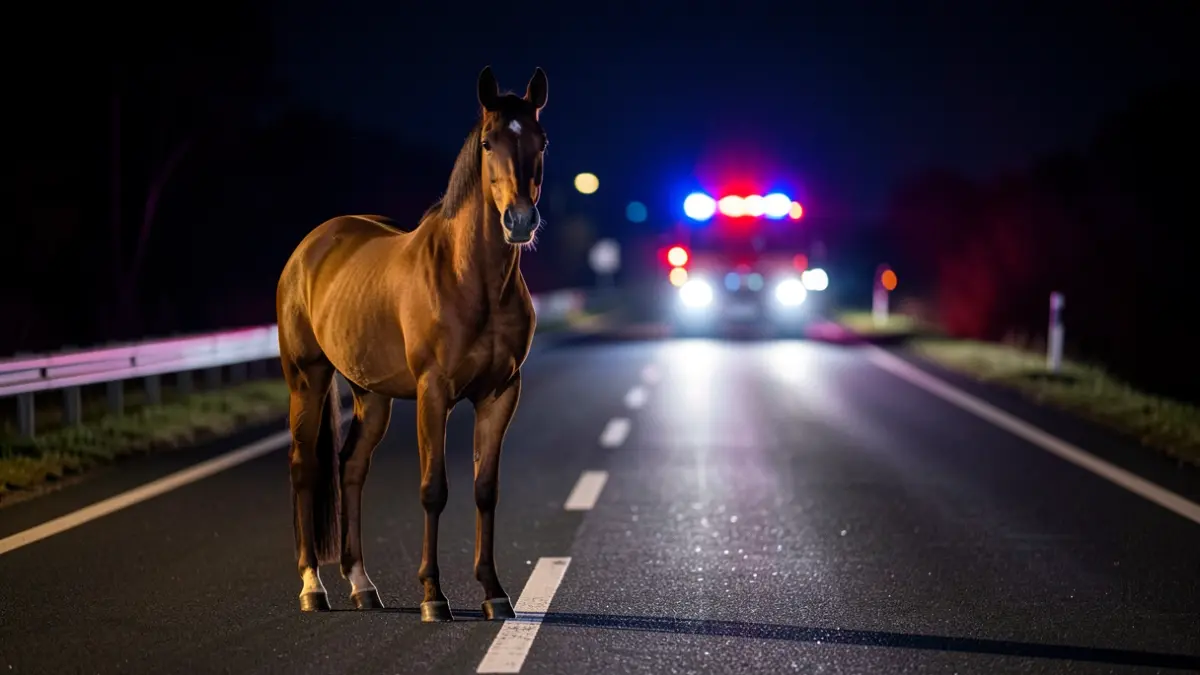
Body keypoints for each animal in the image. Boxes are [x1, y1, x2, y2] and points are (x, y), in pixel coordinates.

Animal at [275, 65, 549, 622]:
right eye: (488, 142)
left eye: (542, 140)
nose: (520, 221)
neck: (472, 279)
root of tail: (309, 248)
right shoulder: (433, 392)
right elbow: (433, 489)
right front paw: (433, 596)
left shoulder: (501, 393)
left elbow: (485, 490)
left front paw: (493, 592)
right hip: (306, 379)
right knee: (305, 467)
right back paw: (313, 586)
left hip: (371, 394)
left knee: (351, 467)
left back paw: (362, 584)